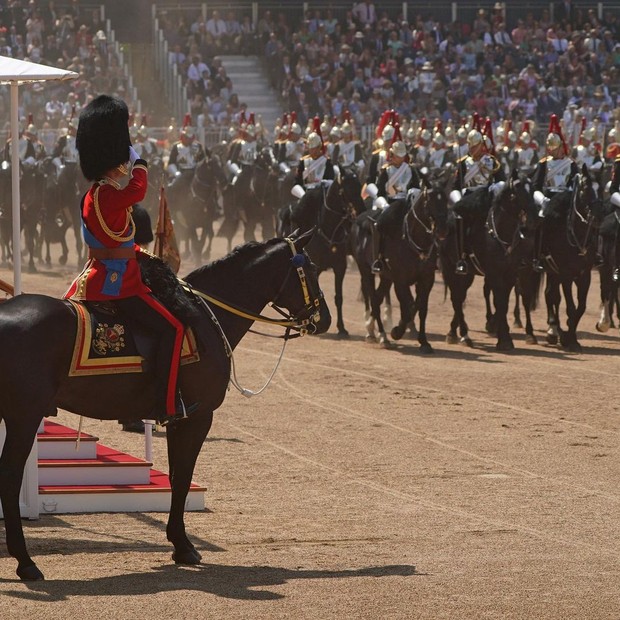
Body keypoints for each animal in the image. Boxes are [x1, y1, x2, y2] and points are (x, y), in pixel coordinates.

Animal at [0, 229, 330, 580]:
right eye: (310, 269)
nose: (325, 319)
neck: (207, 319)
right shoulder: (197, 416)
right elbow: (182, 477)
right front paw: (183, 546)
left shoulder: (178, 418)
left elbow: (174, 477)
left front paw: (178, 542)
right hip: (24, 416)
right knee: (9, 475)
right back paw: (25, 562)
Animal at [276, 167, 364, 336]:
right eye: (346, 190)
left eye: (360, 185)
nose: (361, 211)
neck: (328, 230)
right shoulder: (314, 268)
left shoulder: (340, 267)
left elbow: (338, 297)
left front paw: (341, 327)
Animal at [352, 173, 448, 348]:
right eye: (429, 201)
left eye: (445, 199)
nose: (443, 229)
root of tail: (358, 220)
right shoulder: (400, 281)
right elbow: (407, 307)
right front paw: (397, 331)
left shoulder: (426, 280)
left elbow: (419, 307)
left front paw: (423, 341)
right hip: (366, 271)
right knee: (374, 300)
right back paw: (382, 336)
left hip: (385, 277)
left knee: (378, 297)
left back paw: (373, 330)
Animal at [540, 167, 604, 352]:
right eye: (585, 189)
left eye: (601, 189)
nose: (599, 215)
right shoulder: (566, 275)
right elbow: (570, 306)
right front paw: (569, 339)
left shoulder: (584, 275)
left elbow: (580, 307)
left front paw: (570, 336)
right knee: (552, 296)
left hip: (553, 272)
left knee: (550, 294)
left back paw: (555, 330)